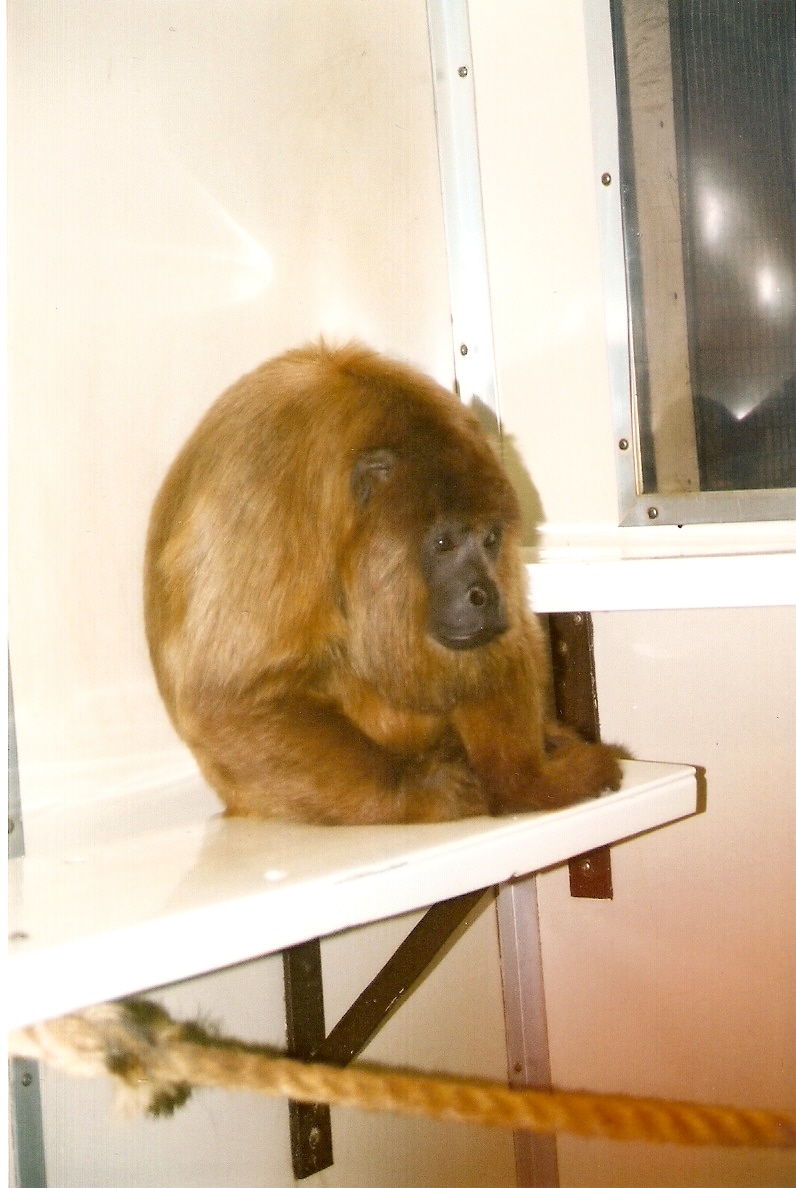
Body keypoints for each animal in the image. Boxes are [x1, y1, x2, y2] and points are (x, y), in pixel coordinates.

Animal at [144, 342, 623, 825]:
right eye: (444, 542)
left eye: (489, 539)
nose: (483, 595)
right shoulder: (269, 503)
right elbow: (231, 699)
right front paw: (426, 793)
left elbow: (509, 639)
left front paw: (528, 780)